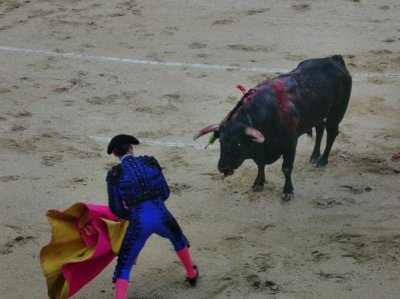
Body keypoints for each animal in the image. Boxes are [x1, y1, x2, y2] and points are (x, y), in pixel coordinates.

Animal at [194, 56, 354, 202]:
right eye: (220, 142)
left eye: (238, 144)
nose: (223, 168)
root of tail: (334, 59)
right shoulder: (260, 150)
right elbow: (260, 165)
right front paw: (258, 183)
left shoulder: (290, 144)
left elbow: (286, 168)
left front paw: (287, 191)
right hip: (317, 114)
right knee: (320, 128)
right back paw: (314, 156)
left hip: (337, 112)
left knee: (332, 133)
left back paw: (322, 161)